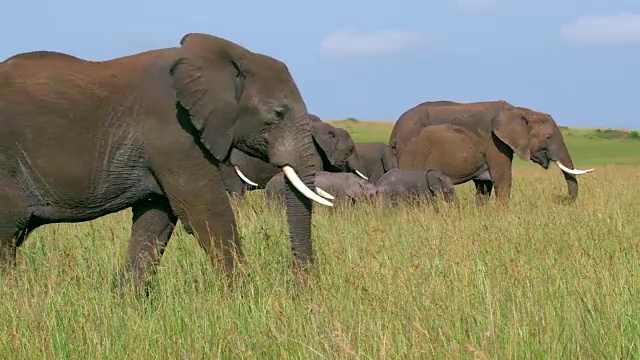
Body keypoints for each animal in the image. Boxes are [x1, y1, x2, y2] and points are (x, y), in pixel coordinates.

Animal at [0, 32, 330, 292]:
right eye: (277, 113)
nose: (302, 288)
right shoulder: (176, 133)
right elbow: (205, 210)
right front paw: (247, 299)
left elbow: (155, 219)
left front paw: (129, 304)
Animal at [390, 100, 596, 204]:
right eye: (548, 137)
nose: (560, 199)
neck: (521, 111)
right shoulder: (495, 142)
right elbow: (502, 179)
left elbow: (484, 185)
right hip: (411, 151)